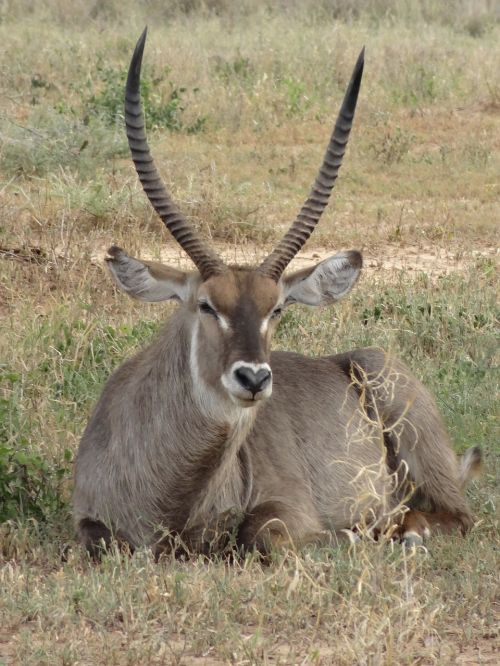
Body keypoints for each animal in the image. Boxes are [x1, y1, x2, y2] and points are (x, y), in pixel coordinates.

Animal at [72, 29, 478, 556]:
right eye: (206, 305)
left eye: (278, 308)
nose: (253, 378)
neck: (171, 498)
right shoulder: (87, 523)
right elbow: (99, 541)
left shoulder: (286, 508)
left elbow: (260, 533)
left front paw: (349, 534)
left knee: (453, 517)